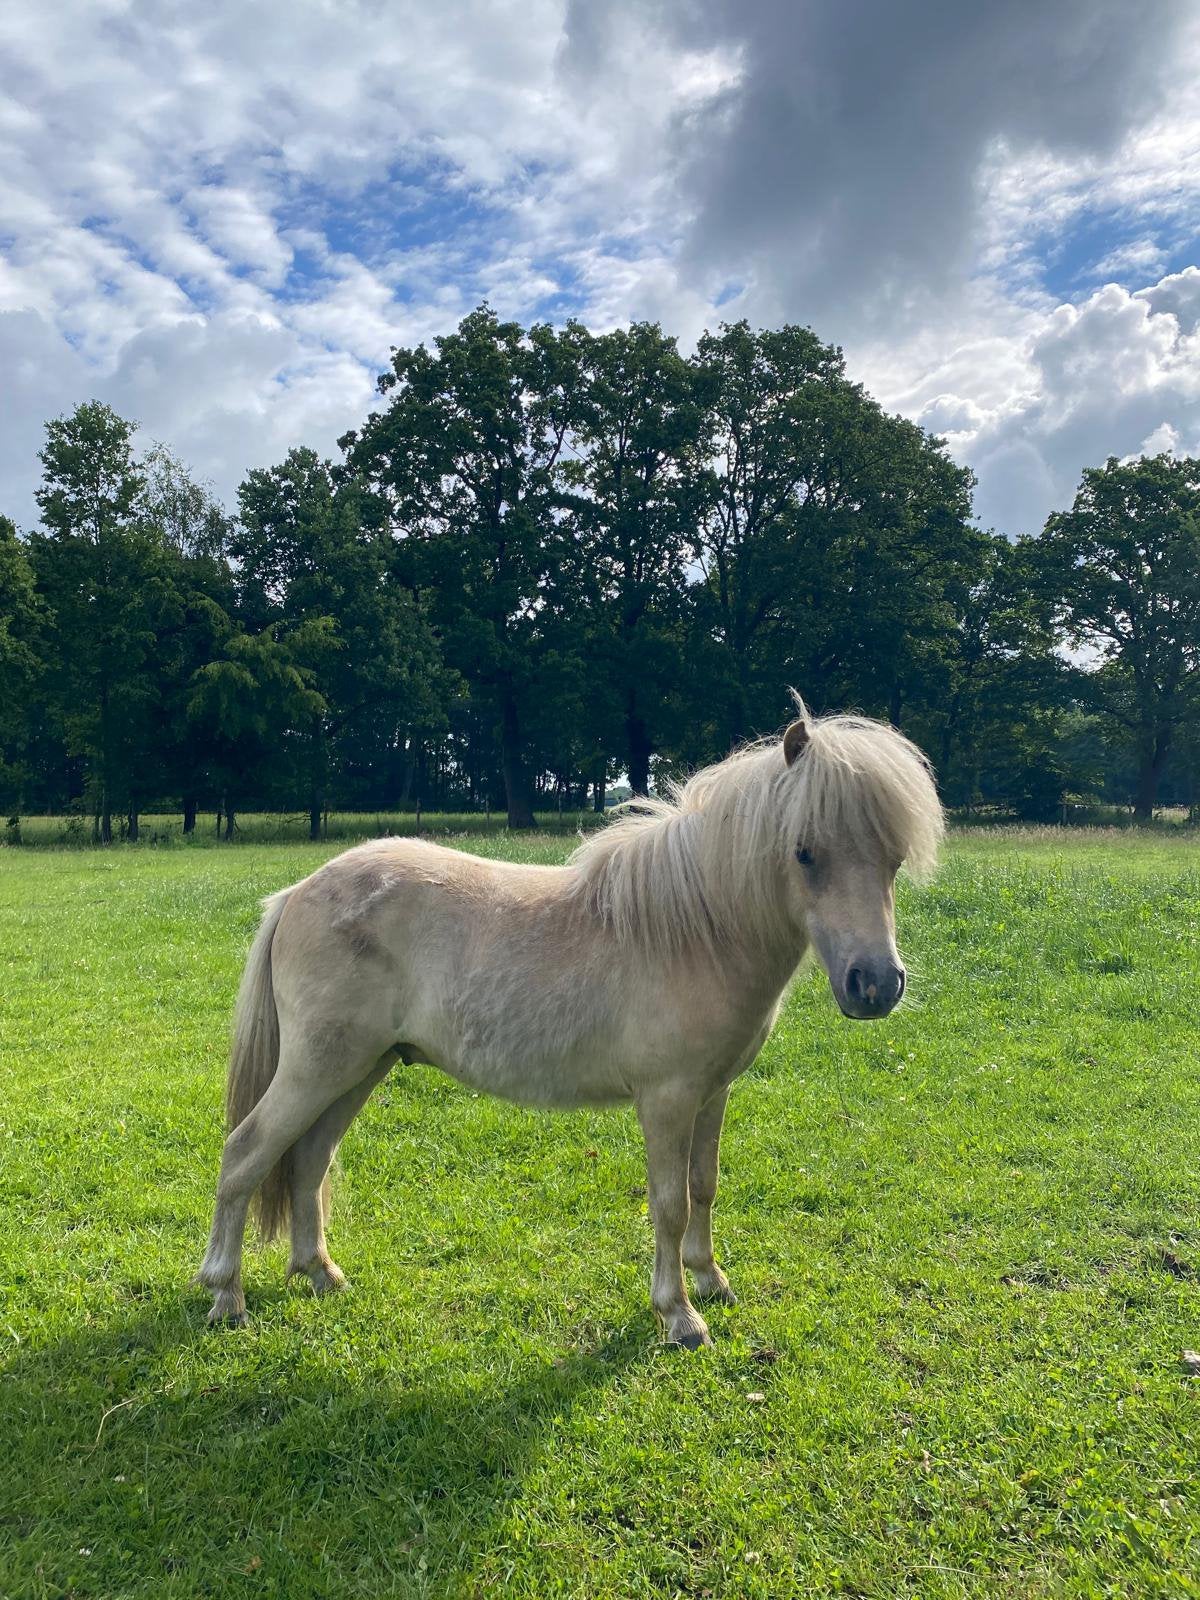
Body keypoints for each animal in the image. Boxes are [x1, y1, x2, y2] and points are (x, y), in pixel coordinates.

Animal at [197, 704, 943, 1348]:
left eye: (892, 857)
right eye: (805, 853)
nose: (875, 985)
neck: (696, 931)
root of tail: (296, 894)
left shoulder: (713, 1093)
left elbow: (704, 1186)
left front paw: (711, 1280)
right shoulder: (667, 1099)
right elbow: (669, 1202)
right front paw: (679, 1315)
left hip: (359, 1069)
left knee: (308, 1160)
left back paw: (320, 1274)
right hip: (317, 1068)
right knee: (246, 1154)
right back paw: (225, 1294)